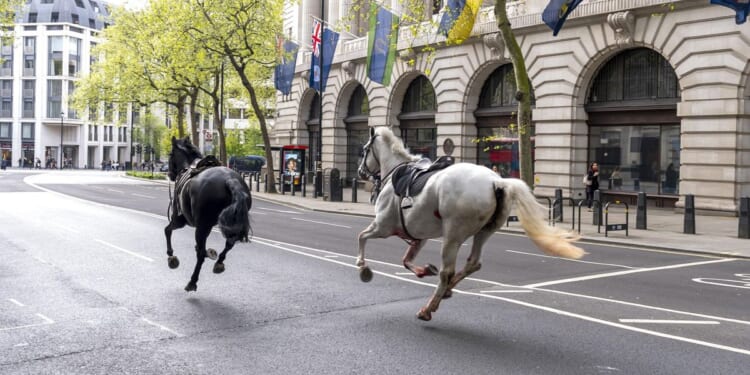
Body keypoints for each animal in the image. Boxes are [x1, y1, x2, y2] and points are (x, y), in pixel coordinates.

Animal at [165, 137, 253, 292]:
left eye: (170, 154)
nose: (169, 174)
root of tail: (230, 179)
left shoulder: (180, 220)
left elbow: (167, 230)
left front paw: (171, 256)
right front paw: (211, 253)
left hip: (201, 226)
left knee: (200, 254)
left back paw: (192, 282)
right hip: (228, 223)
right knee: (229, 243)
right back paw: (219, 262)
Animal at [358, 128, 588, 322]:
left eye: (364, 150)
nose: (360, 172)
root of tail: (497, 182)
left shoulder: (383, 226)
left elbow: (362, 236)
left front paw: (363, 267)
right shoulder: (419, 235)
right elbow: (406, 260)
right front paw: (423, 270)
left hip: (452, 235)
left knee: (447, 272)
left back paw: (428, 308)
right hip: (484, 231)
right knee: (473, 263)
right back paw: (446, 291)